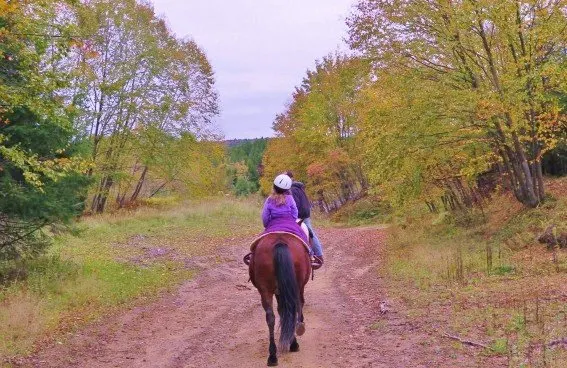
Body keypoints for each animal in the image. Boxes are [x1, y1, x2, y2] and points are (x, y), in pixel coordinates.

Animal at [248, 233, 310, 366]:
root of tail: (279, 241)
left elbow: (281, 311)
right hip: (295, 286)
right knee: (292, 310)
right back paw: (293, 344)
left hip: (265, 290)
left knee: (271, 317)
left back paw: (272, 356)